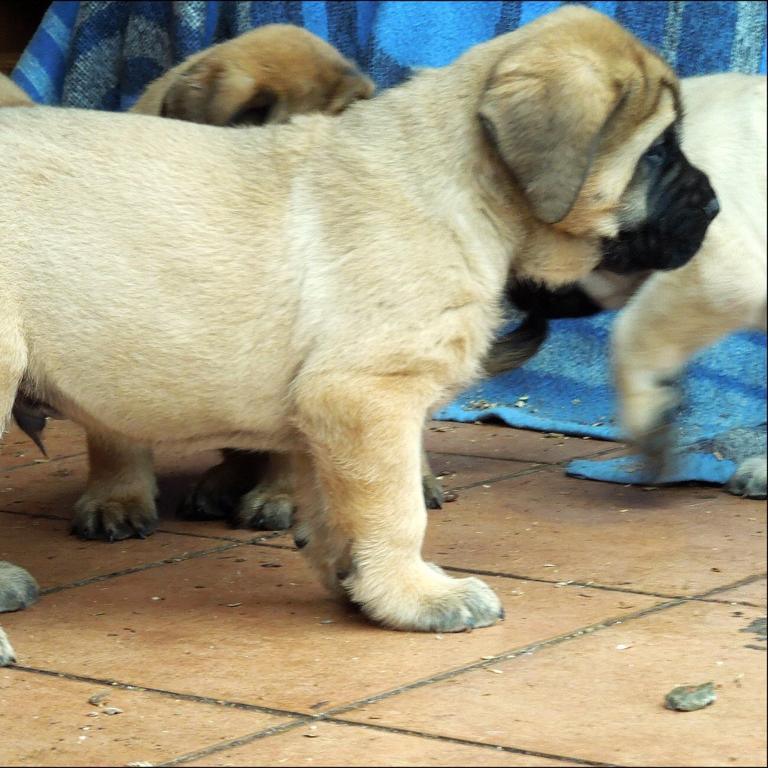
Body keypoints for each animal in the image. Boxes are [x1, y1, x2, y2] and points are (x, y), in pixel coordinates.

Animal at [1, 6, 720, 632]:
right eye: (658, 153)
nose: (713, 205)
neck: (466, 189)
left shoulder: (334, 416)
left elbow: (341, 508)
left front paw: (360, 585)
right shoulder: (366, 395)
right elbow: (394, 511)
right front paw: (418, 595)